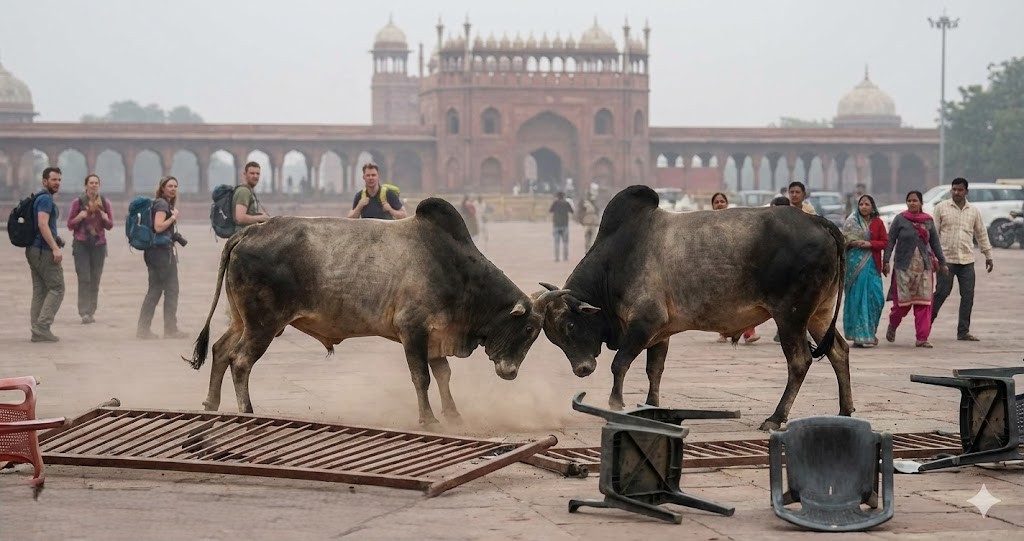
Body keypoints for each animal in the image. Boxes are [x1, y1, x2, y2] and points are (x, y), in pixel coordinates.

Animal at [186, 198, 561, 426]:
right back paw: (248, 412)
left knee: (220, 350)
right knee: (240, 361)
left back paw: (210, 403)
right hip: (264, 324)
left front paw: (454, 415)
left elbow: (443, 375)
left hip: (242, 320)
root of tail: (250, 230)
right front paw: (429, 419)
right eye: (530, 330)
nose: (510, 372)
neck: (456, 268)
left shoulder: (436, 335)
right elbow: (422, 377)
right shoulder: (413, 329)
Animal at [535, 185, 850, 431]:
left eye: (570, 325)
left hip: (790, 316)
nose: (582, 369)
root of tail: (820, 222)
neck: (614, 263)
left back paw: (776, 417)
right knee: (839, 351)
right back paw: (845, 411)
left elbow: (620, 363)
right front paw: (650, 409)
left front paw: (616, 404)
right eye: (554, 338)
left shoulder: (644, 323)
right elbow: (654, 370)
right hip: (819, 314)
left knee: (799, 361)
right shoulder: (659, 332)